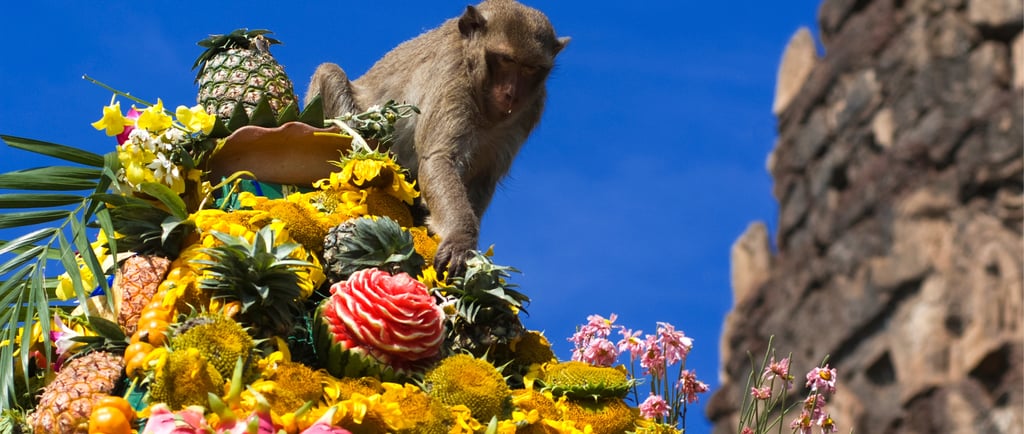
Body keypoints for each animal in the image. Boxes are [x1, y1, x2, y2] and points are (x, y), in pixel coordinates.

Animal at [306, 0, 568, 277]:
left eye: (530, 68)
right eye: (506, 60)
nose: (512, 94)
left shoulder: (530, 109)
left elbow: (484, 179)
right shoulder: (453, 75)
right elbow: (438, 159)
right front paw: (460, 238)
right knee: (329, 73)